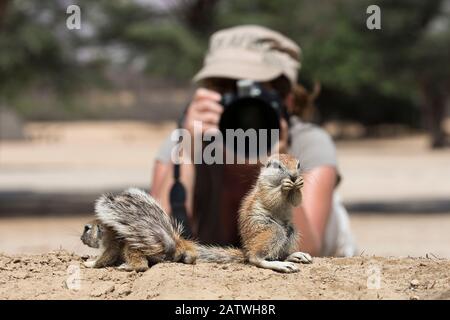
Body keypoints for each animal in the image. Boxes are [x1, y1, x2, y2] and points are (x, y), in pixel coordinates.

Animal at [81, 153, 312, 272]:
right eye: (279, 166)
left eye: (299, 164)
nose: (294, 175)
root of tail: (245, 250)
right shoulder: (263, 188)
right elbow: (270, 197)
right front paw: (284, 186)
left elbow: (297, 200)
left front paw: (299, 185)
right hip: (271, 231)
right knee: (256, 258)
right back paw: (280, 264)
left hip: (290, 230)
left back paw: (294, 255)